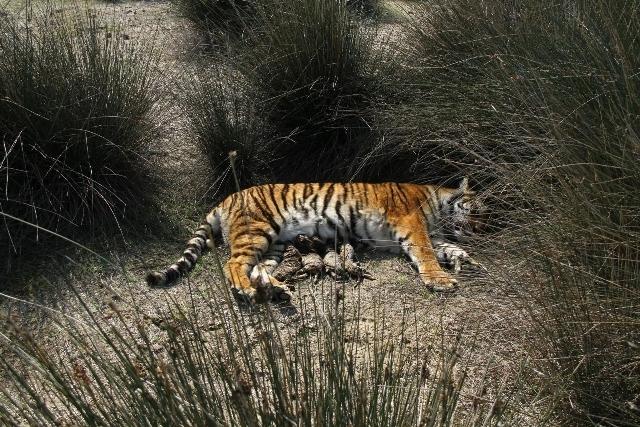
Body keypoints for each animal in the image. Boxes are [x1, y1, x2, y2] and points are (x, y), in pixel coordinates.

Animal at [146, 179, 484, 302]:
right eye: (477, 210)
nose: (479, 230)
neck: (440, 204)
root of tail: (227, 198)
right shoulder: (413, 225)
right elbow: (425, 253)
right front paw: (440, 281)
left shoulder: (436, 235)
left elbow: (449, 248)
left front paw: (467, 261)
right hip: (255, 231)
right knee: (233, 264)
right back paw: (246, 290)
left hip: (274, 244)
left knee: (257, 269)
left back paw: (276, 289)